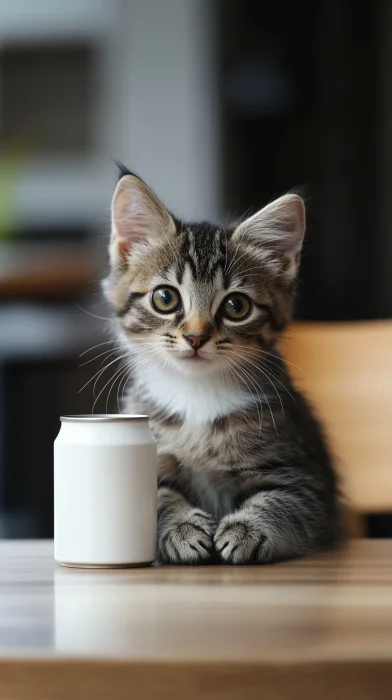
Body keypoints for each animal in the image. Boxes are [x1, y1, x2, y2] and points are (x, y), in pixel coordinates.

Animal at [104, 167, 340, 568]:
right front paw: (182, 527)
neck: (197, 394)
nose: (196, 337)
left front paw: (247, 529)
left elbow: (284, 500)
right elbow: (159, 496)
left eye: (236, 306)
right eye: (165, 298)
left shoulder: (309, 478)